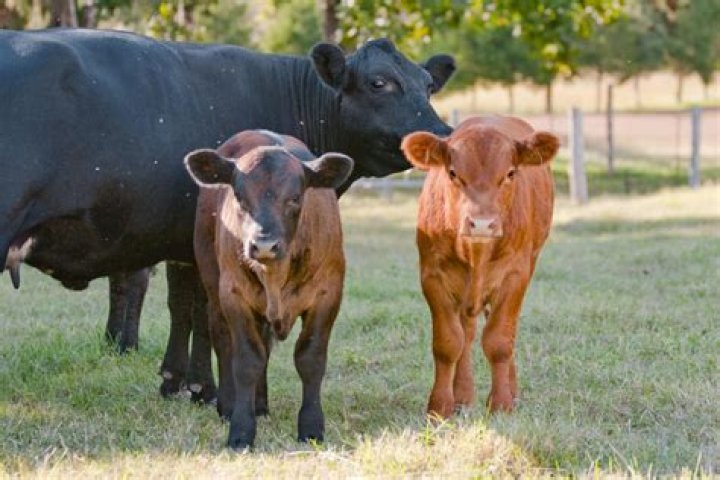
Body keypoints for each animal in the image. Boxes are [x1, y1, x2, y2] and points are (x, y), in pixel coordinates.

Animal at [0, 29, 455, 402]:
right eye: (380, 82)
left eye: (428, 85)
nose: (443, 135)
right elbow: (205, 311)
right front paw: (208, 388)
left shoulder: (181, 239)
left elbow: (182, 305)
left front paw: (174, 381)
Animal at [185, 130, 351, 449]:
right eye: (239, 197)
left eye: (295, 198)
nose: (263, 245)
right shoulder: (233, 295)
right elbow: (247, 359)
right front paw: (240, 429)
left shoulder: (328, 294)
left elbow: (310, 358)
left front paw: (311, 426)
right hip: (212, 281)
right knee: (223, 340)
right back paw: (230, 404)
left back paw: (260, 404)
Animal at [400, 115, 559, 418]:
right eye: (453, 173)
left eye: (510, 173)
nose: (482, 224)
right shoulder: (432, 277)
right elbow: (449, 342)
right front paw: (440, 406)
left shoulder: (515, 276)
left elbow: (499, 340)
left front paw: (501, 403)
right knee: (468, 333)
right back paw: (463, 395)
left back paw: (511, 390)